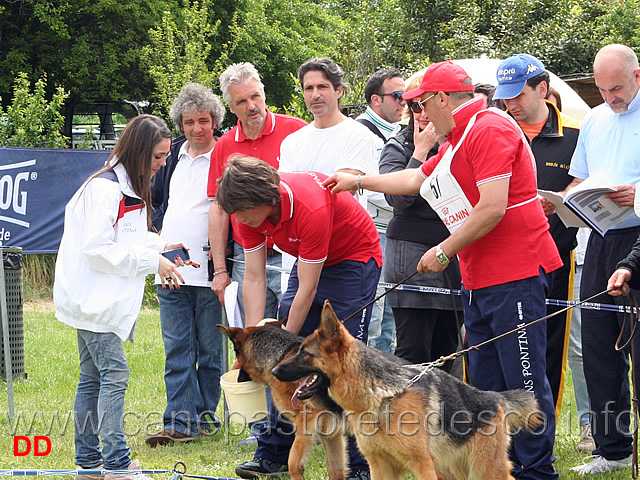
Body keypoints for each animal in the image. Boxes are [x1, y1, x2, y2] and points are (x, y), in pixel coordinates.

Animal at [219, 322, 350, 480]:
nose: (238, 380)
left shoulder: (306, 423)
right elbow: (335, 469)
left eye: (237, 357)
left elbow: (292, 462)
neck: (279, 358)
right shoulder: (330, 431)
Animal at [272, 302, 544, 478]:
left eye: (303, 353)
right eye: (297, 349)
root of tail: (492, 397)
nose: (274, 371)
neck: (381, 397)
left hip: (483, 470)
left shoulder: (423, 466)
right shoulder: (380, 467)